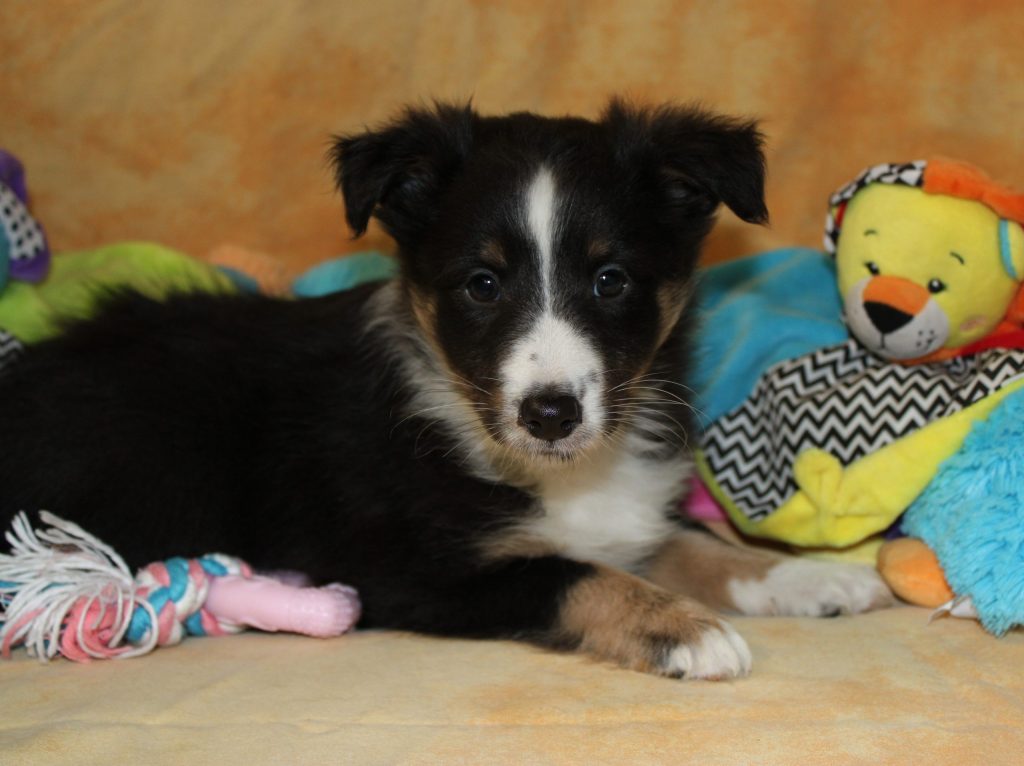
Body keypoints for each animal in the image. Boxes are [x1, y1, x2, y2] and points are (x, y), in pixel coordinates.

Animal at [0, 100, 892, 679]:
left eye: (610, 280)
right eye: (482, 284)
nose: (551, 414)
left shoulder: (627, 510)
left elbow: (683, 542)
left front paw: (807, 576)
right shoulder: (407, 571)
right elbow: (570, 572)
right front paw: (681, 630)